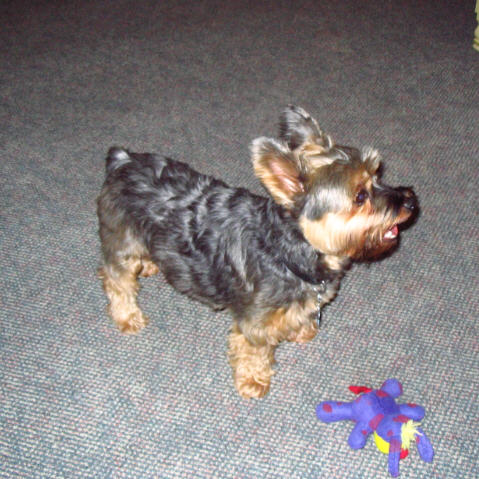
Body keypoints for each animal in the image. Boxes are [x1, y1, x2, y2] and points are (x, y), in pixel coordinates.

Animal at [97, 106, 418, 399]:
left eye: (377, 175)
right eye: (360, 196)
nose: (411, 201)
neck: (288, 250)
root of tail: (123, 161)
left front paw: (301, 329)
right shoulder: (255, 323)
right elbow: (253, 352)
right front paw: (253, 380)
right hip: (120, 240)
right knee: (116, 280)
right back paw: (127, 315)